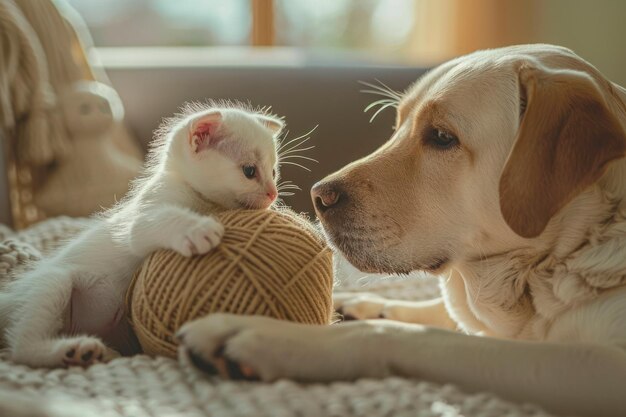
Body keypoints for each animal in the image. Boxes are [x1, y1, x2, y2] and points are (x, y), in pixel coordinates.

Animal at [0, 102, 282, 366]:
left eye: (273, 172)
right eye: (249, 171)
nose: (273, 194)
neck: (202, 200)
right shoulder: (141, 219)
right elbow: (157, 222)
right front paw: (197, 229)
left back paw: (98, 353)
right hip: (52, 282)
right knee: (22, 347)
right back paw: (71, 350)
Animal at [177, 45, 624, 416]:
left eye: (442, 136)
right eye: (397, 126)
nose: (318, 197)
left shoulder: (592, 367)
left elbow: (426, 336)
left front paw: (276, 336)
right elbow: (442, 311)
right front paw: (359, 303)